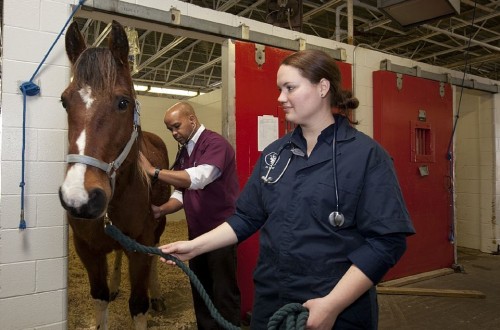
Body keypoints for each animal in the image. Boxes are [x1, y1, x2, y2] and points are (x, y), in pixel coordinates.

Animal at [59, 20, 170, 330]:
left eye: (123, 102)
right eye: (64, 102)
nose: (80, 198)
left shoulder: (141, 248)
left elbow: (138, 306)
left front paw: (149, 299)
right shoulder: (87, 250)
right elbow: (100, 298)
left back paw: (157, 296)